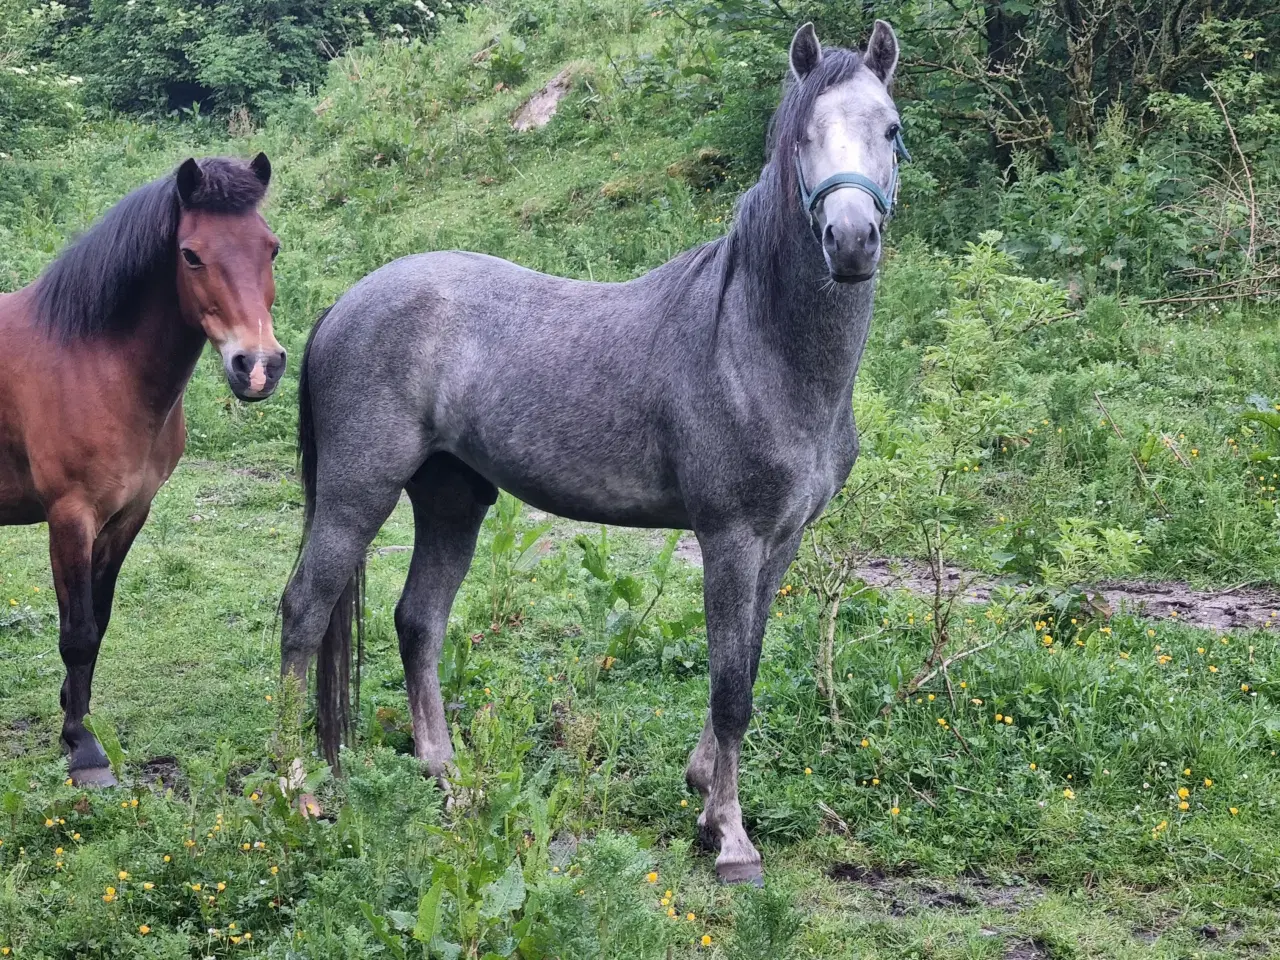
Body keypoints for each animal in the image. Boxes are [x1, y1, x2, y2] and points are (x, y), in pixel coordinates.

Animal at [0, 154, 285, 788]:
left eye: (271, 248)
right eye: (191, 255)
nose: (257, 367)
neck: (90, 358)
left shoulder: (128, 514)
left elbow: (98, 620)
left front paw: (73, 715)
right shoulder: (71, 517)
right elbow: (78, 633)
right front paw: (83, 748)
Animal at [282, 20, 901, 885]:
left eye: (892, 130)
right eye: (803, 135)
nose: (850, 240)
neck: (756, 343)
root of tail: (345, 303)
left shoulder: (780, 543)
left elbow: (746, 664)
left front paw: (704, 791)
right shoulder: (731, 539)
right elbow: (730, 686)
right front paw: (731, 839)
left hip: (452, 499)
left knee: (419, 621)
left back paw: (448, 776)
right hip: (354, 494)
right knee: (304, 613)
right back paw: (294, 786)